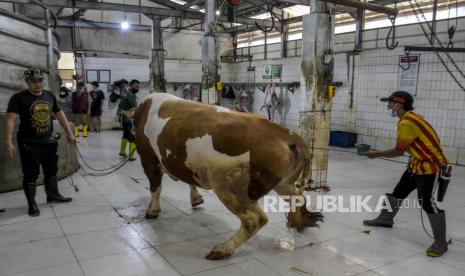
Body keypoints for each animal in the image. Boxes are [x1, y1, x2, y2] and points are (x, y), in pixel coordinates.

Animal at [133, 94, 322, 260]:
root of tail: (288, 135)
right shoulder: (182, 164)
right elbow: (188, 180)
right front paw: (196, 198)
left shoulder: (148, 159)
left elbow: (155, 186)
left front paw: (152, 211)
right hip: (283, 182)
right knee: (297, 197)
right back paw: (300, 222)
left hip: (230, 186)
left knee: (254, 219)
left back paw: (221, 249)